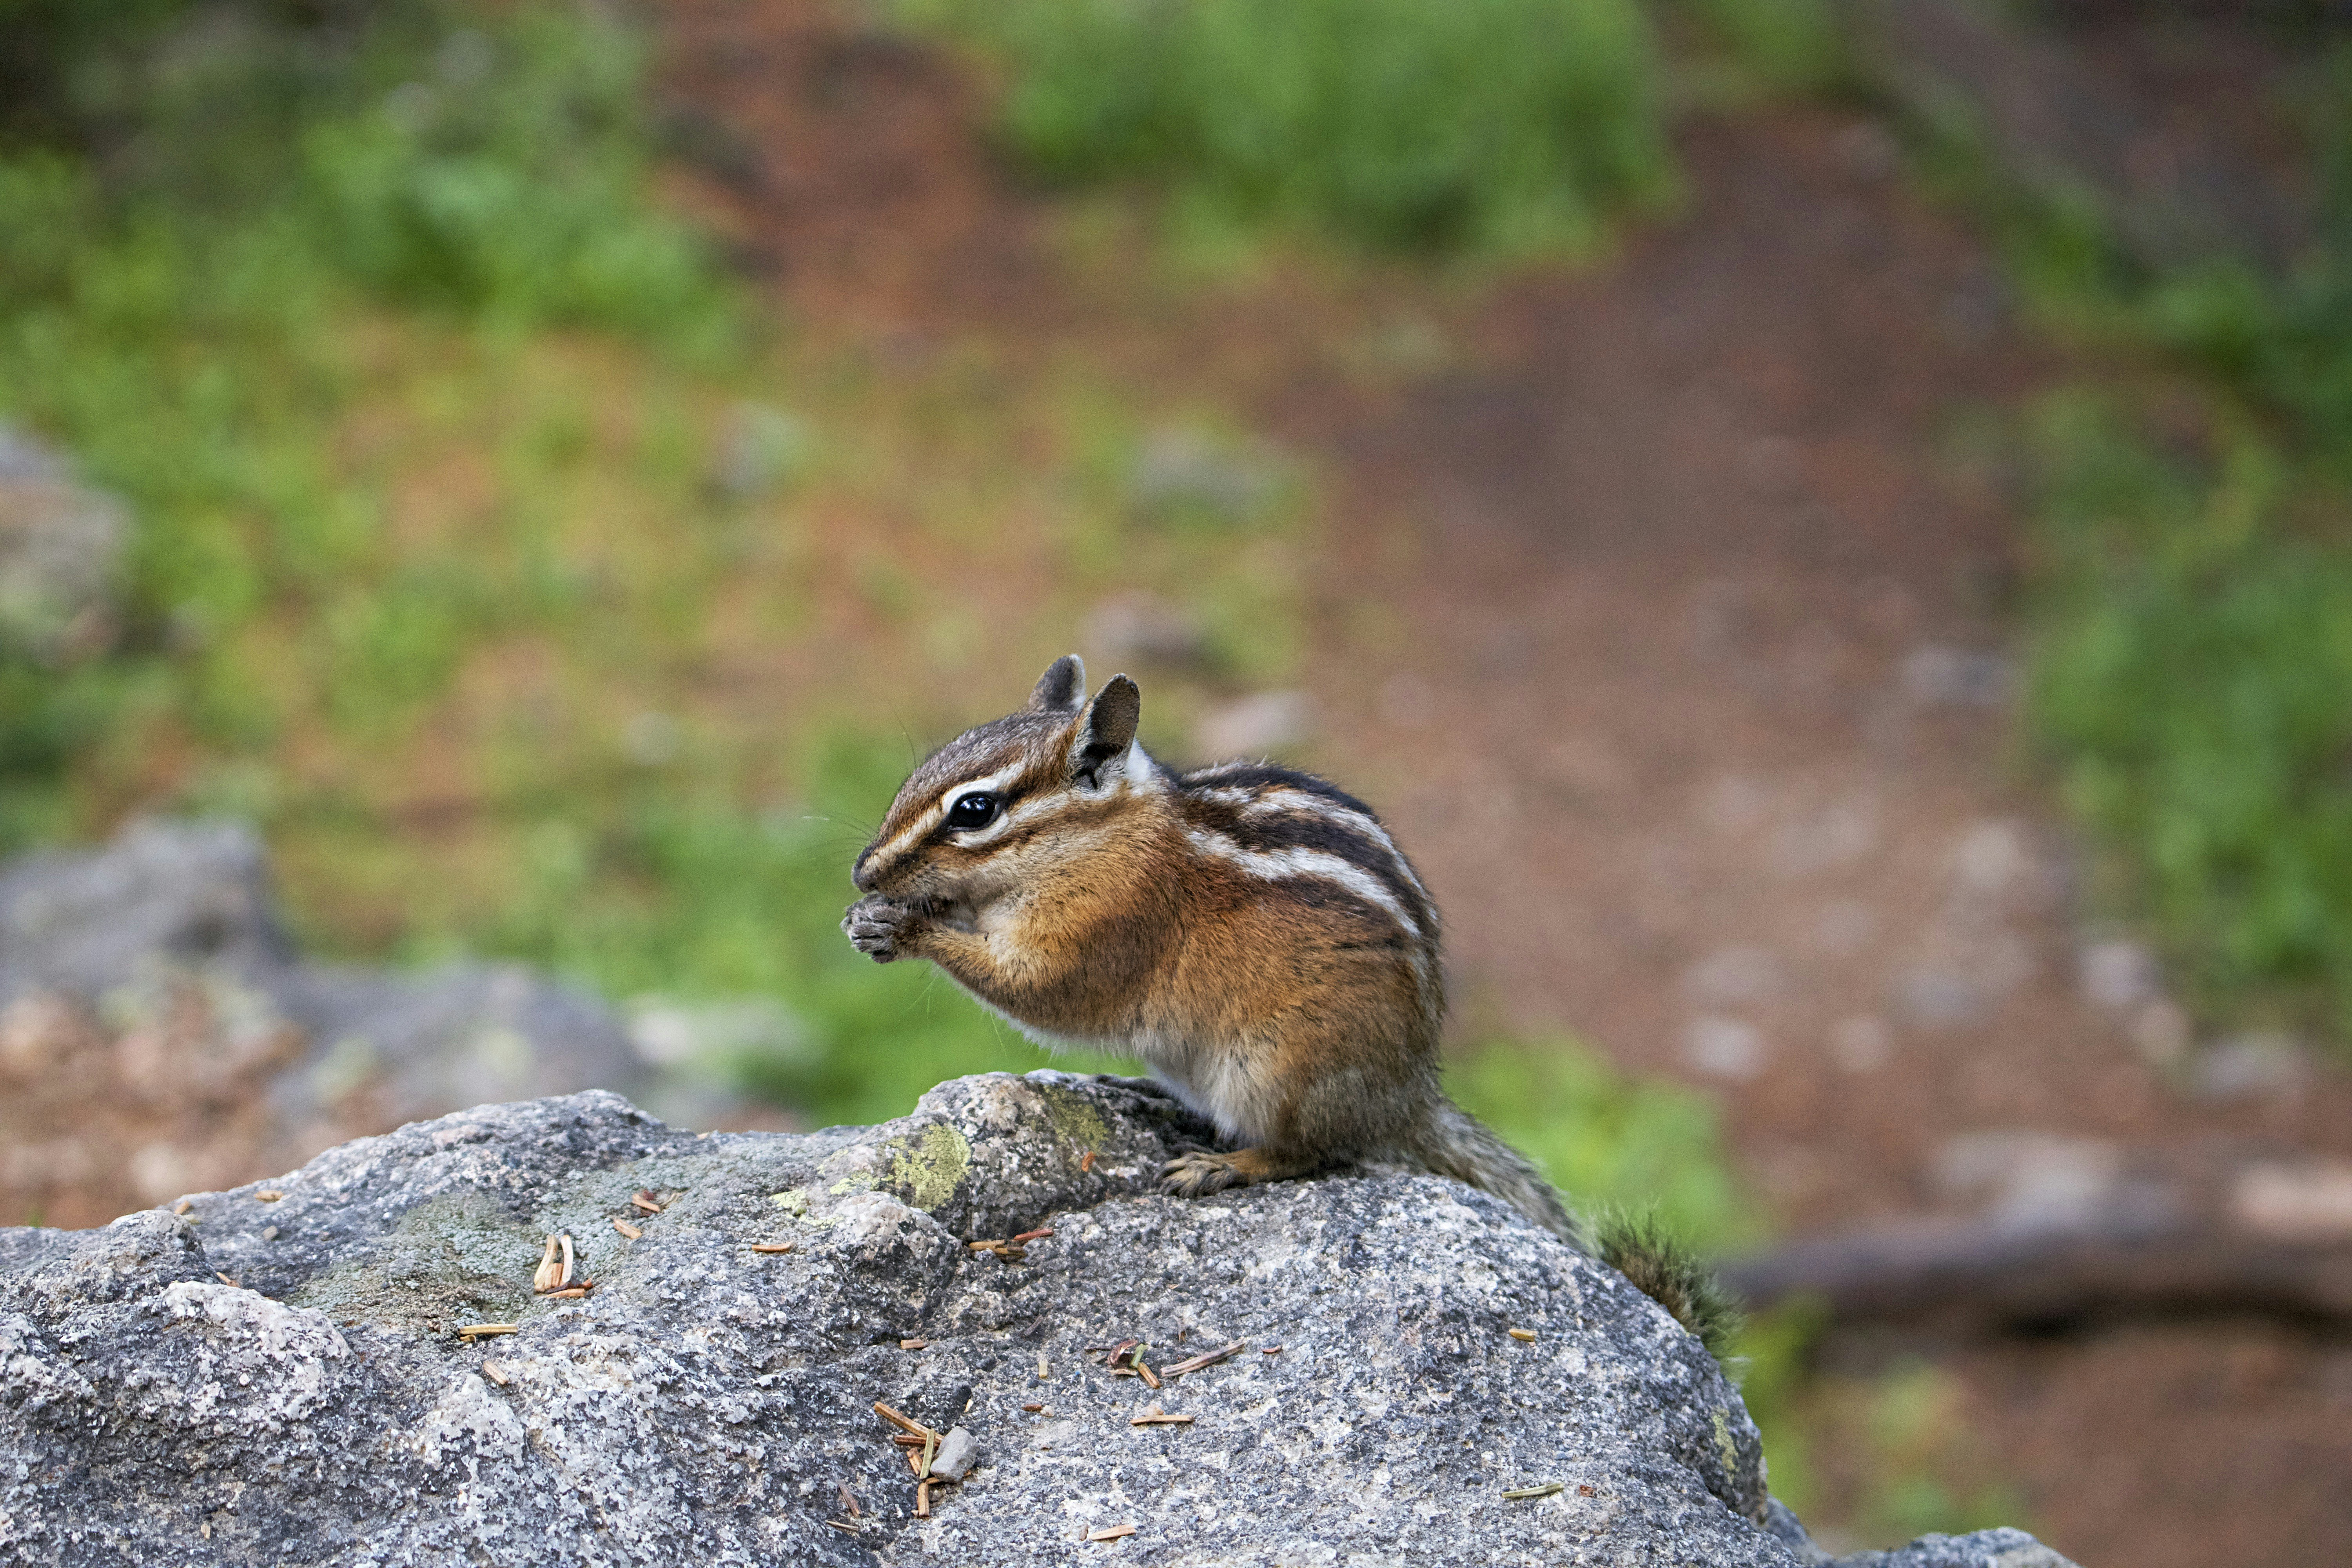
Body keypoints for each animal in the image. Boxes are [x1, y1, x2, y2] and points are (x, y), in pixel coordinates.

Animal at [842, 656, 1738, 1358]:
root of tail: (1409, 1094)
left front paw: (907, 927)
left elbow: (1040, 990)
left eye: (975, 810)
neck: (1110, 837)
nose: (863, 870)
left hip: (1275, 1070)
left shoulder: (1100, 932)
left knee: (1311, 1155)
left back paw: (1224, 1165)